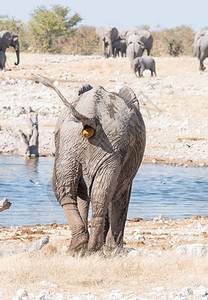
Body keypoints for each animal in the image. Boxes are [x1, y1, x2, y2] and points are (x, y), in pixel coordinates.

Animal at [35, 74, 146, 253]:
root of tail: (92, 117)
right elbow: (121, 194)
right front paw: (114, 248)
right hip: (104, 144)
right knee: (98, 195)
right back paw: (92, 248)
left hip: (70, 144)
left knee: (68, 190)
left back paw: (80, 246)